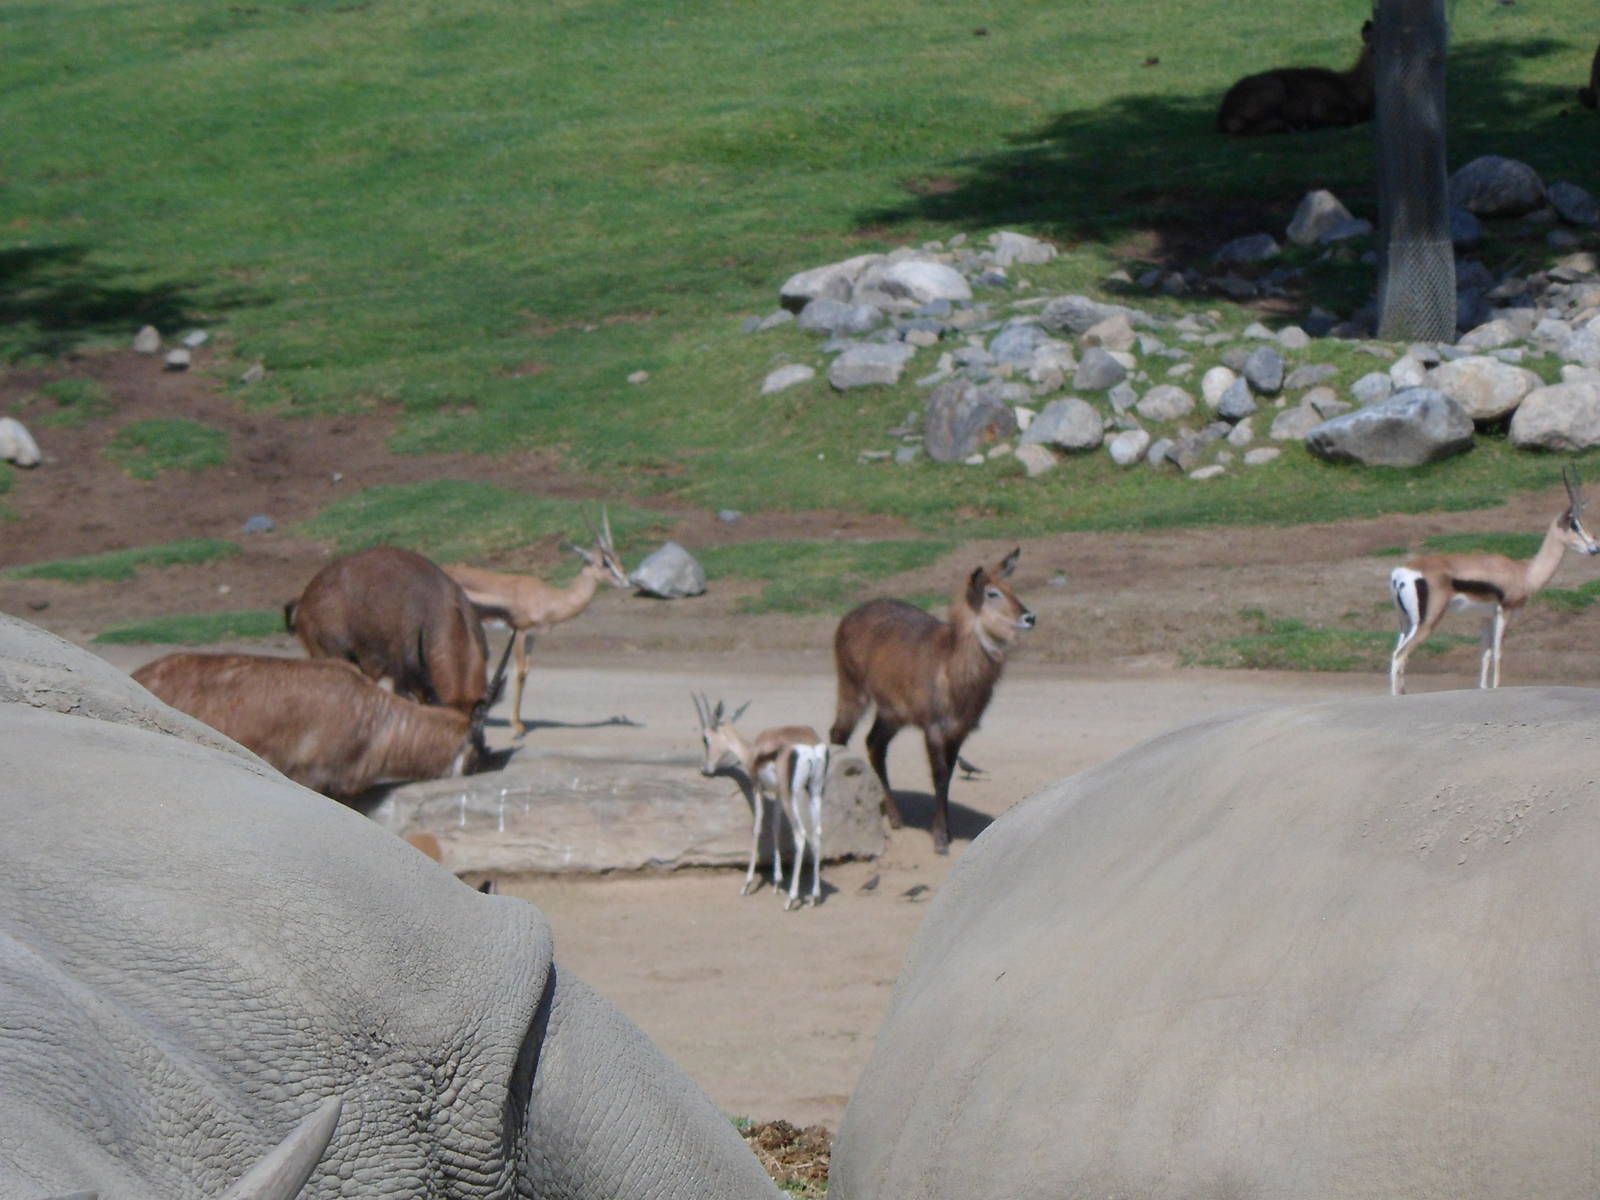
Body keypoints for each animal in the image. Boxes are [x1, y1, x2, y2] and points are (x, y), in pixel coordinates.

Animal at [445, 507, 629, 737]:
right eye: (605, 562)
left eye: (617, 558)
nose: (626, 581)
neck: (547, 597)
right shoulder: (518, 632)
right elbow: (519, 672)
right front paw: (516, 727)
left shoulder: (533, 637)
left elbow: (527, 673)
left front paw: (520, 721)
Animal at [693, 693, 829, 910]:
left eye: (705, 739)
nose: (705, 769)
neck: (753, 752)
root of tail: (811, 746)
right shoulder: (777, 794)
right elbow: (775, 827)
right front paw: (777, 882)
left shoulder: (757, 788)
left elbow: (757, 829)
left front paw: (747, 884)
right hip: (815, 792)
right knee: (817, 833)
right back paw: (814, 896)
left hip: (792, 797)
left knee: (801, 835)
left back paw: (791, 898)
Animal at [830, 547, 1034, 855]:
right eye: (992, 593)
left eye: (1012, 588)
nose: (1030, 617)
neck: (951, 667)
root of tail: (846, 618)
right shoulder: (934, 727)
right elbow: (938, 775)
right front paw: (939, 840)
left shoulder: (958, 730)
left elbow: (947, 778)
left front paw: (946, 832)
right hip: (853, 688)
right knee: (838, 734)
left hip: (892, 712)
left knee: (874, 743)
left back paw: (895, 818)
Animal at [1389, 468, 1600, 695]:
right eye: (1574, 524)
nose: (1594, 548)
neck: (1524, 572)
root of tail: (1401, 573)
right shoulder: (1504, 612)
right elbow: (1498, 652)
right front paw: (1497, 687)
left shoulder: (1486, 617)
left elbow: (1485, 654)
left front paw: (1483, 688)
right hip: (1427, 622)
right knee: (1400, 656)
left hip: (1406, 622)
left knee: (1395, 654)